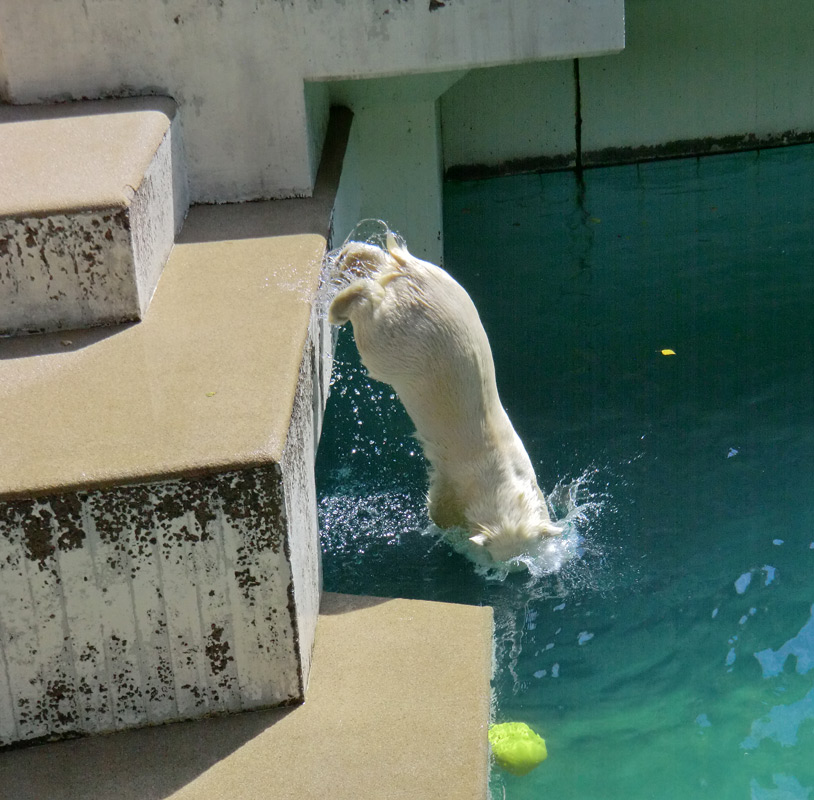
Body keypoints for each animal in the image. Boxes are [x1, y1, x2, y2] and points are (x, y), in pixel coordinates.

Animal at [328, 234, 564, 564]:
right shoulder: (454, 475)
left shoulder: (529, 479)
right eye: (494, 557)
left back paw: (351, 258)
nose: (505, 569)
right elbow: (439, 507)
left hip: (442, 282)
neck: (500, 474)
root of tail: (412, 276)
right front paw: (453, 534)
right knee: (374, 326)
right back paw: (340, 304)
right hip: (403, 339)